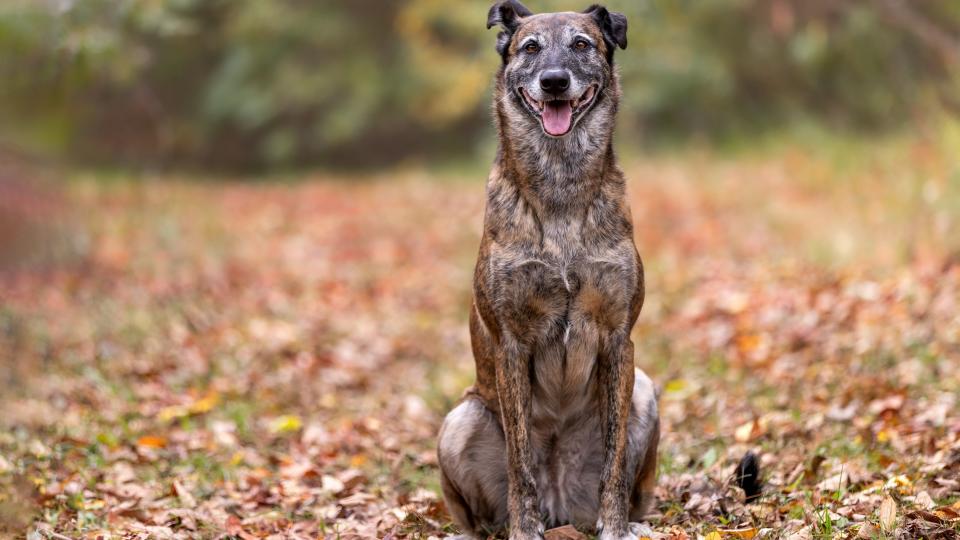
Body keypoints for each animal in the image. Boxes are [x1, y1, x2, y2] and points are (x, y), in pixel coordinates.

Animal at [440, 4, 660, 540]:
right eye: (530, 47)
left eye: (581, 44)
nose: (554, 81)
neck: (561, 182)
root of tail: (561, 503)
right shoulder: (512, 344)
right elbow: (520, 462)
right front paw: (525, 529)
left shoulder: (618, 339)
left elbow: (614, 461)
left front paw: (614, 527)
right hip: (458, 420)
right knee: (477, 518)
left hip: (646, 390)